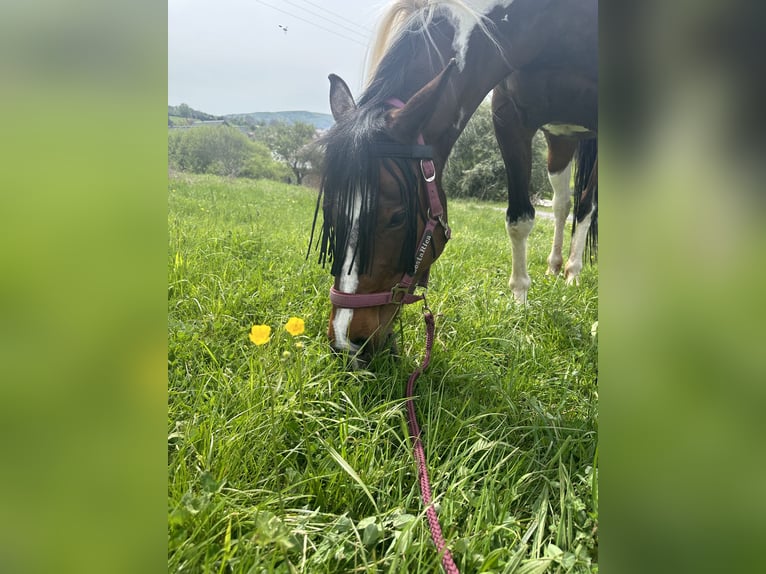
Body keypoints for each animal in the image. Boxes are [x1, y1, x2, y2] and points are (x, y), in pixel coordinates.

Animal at [312, 0, 600, 364]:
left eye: (397, 217)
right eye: (331, 210)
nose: (346, 343)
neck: (553, 24)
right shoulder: (509, 116)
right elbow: (519, 219)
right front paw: (520, 302)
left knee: (585, 204)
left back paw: (572, 272)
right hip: (559, 138)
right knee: (563, 204)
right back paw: (555, 266)